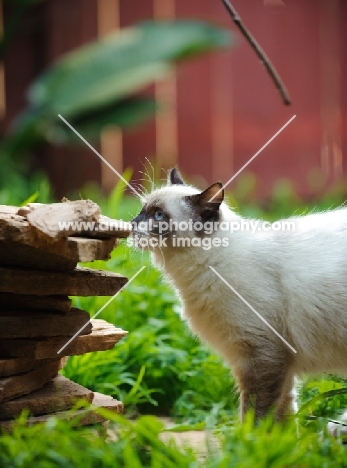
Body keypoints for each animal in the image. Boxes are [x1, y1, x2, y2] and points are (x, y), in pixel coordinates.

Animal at [131, 167, 347, 424]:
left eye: (158, 215)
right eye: (142, 210)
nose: (132, 224)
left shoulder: (263, 356)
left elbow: (256, 417)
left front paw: (249, 436)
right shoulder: (277, 363)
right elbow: (282, 420)